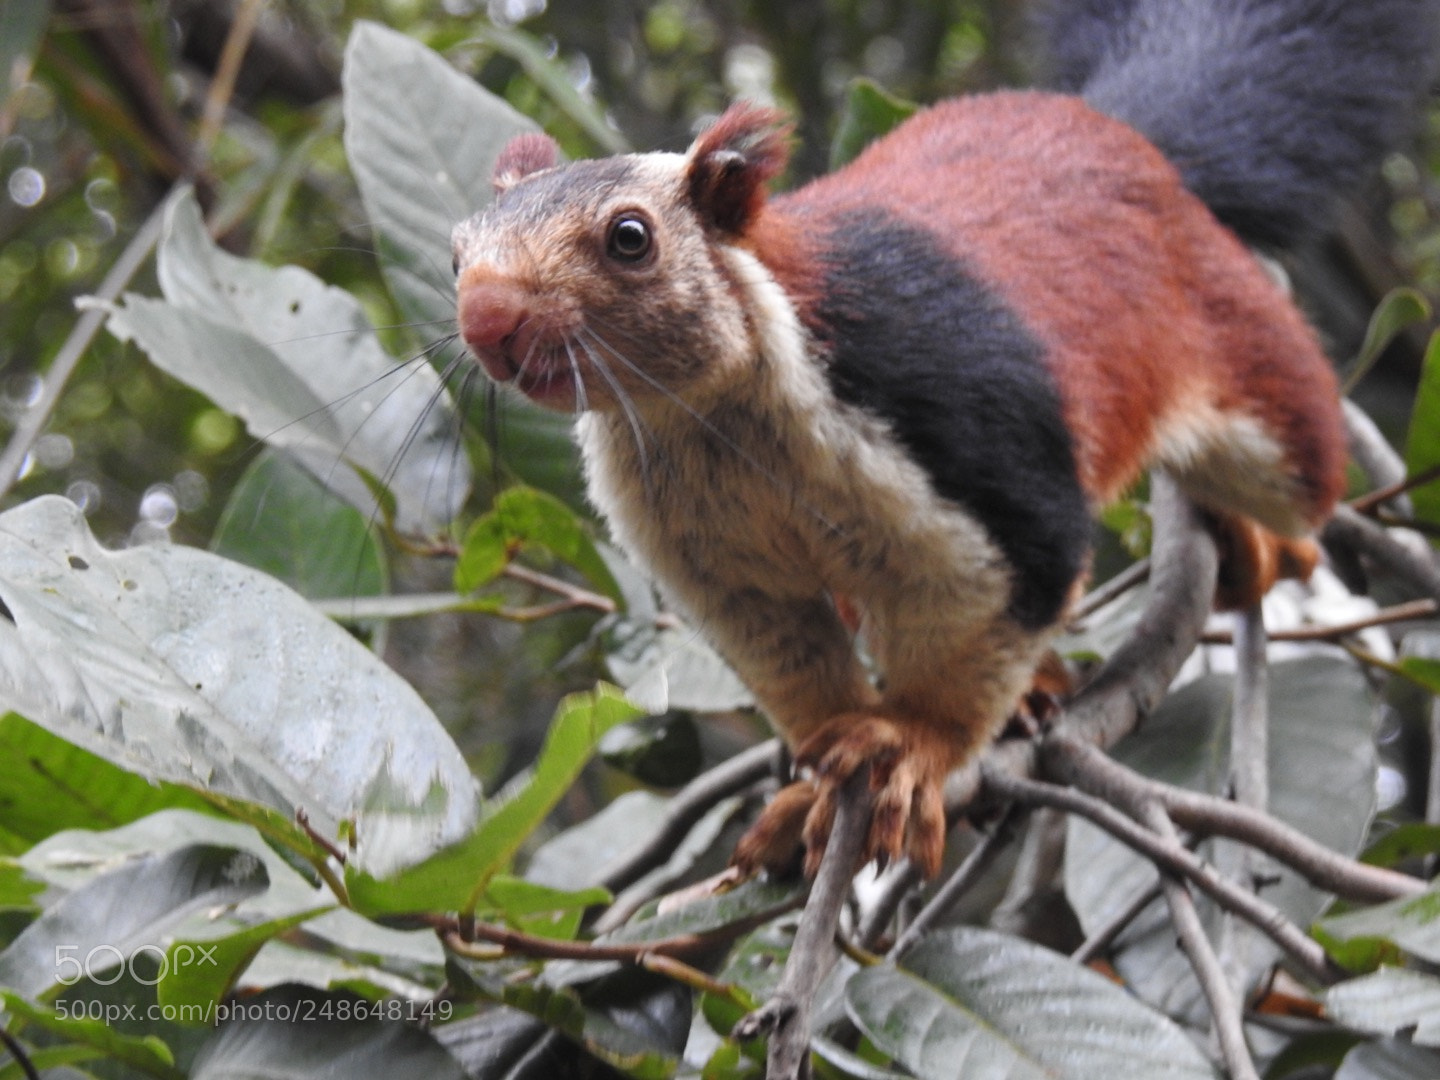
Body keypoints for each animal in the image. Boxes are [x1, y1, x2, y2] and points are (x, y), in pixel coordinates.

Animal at [452, 0, 1437, 879]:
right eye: (458, 251)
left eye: (631, 238)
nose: (486, 318)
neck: (703, 415)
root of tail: (1121, 134)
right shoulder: (713, 562)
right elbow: (788, 660)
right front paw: (817, 779)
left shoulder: (962, 425)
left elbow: (1013, 588)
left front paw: (916, 754)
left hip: (1250, 363)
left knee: (1296, 464)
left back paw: (1260, 537)